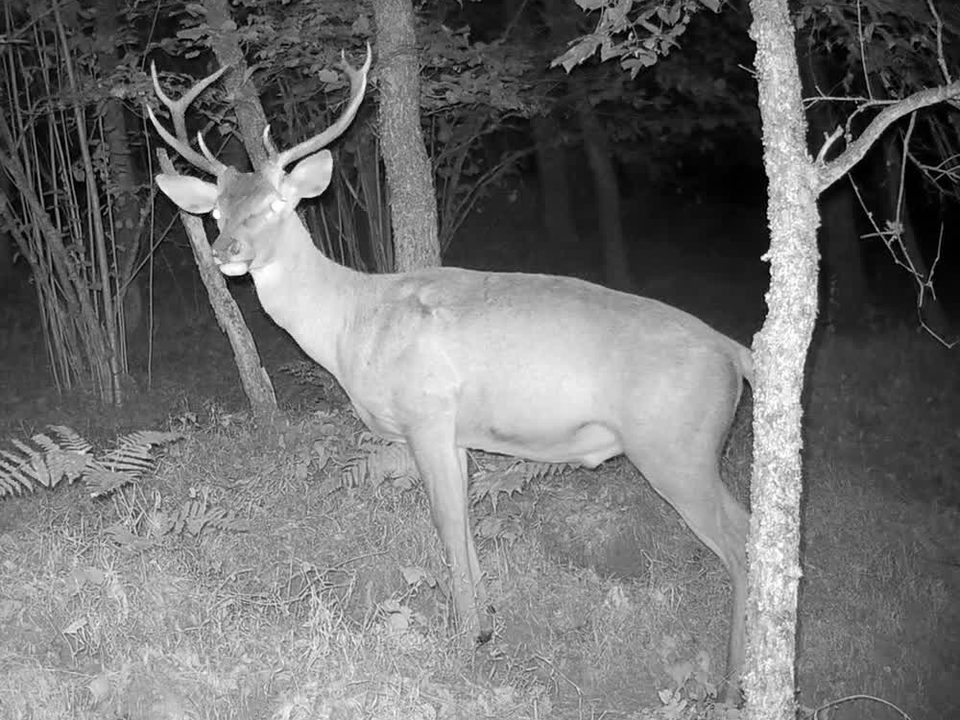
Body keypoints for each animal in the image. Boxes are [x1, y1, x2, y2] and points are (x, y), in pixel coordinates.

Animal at [147, 46, 753, 704]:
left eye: (276, 206)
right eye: (218, 210)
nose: (225, 250)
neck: (353, 323)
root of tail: (732, 351)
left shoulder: (426, 414)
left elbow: (444, 521)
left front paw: (463, 642)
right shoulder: (460, 434)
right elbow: (464, 522)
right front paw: (486, 626)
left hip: (675, 446)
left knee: (743, 543)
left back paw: (733, 685)